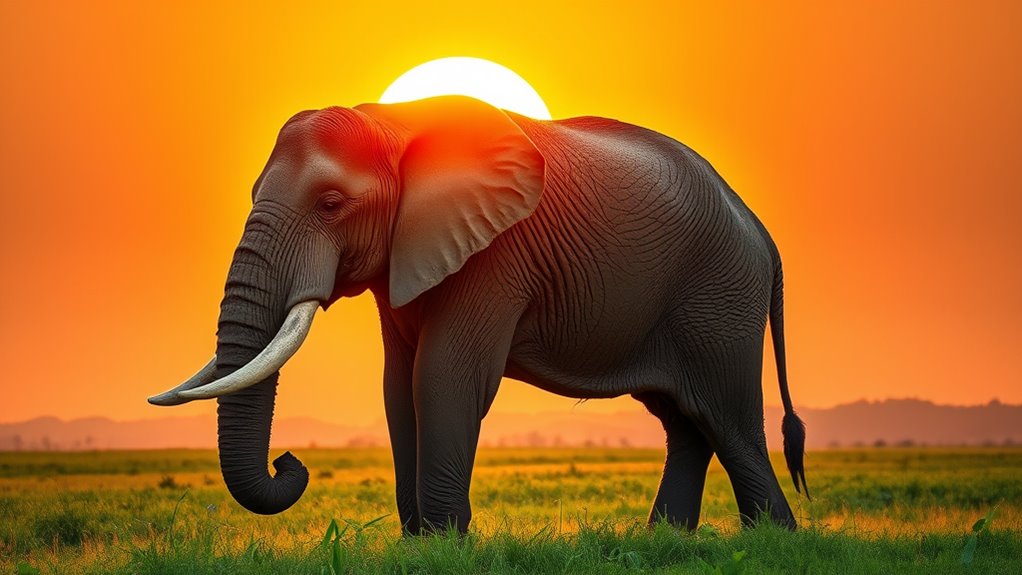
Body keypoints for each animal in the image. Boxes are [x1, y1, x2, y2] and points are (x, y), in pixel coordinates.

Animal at [149, 95, 808, 534]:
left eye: (331, 203)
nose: (289, 460)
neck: (394, 122)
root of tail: (762, 230)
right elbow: (398, 388)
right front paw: (421, 545)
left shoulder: (496, 256)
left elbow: (443, 377)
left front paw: (446, 544)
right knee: (684, 421)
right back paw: (667, 541)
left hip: (719, 295)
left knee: (727, 418)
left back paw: (773, 541)